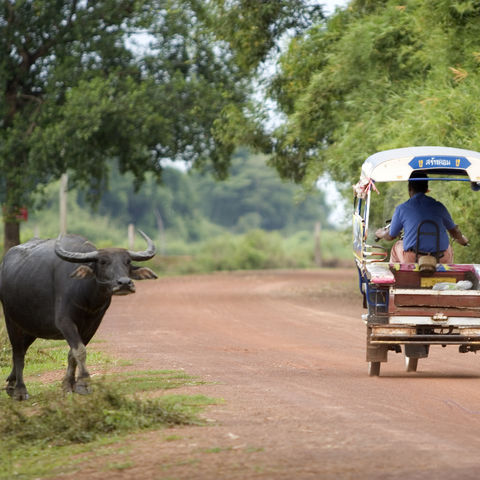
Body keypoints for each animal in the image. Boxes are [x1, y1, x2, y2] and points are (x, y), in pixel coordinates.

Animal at [0, 231, 158, 400]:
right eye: (103, 262)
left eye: (127, 262)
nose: (124, 283)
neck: (87, 297)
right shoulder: (64, 322)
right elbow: (80, 351)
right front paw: (84, 384)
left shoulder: (92, 325)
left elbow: (72, 354)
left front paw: (68, 385)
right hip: (11, 320)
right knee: (18, 352)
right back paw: (20, 390)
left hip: (31, 326)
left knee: (22, 348)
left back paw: (11, 384)